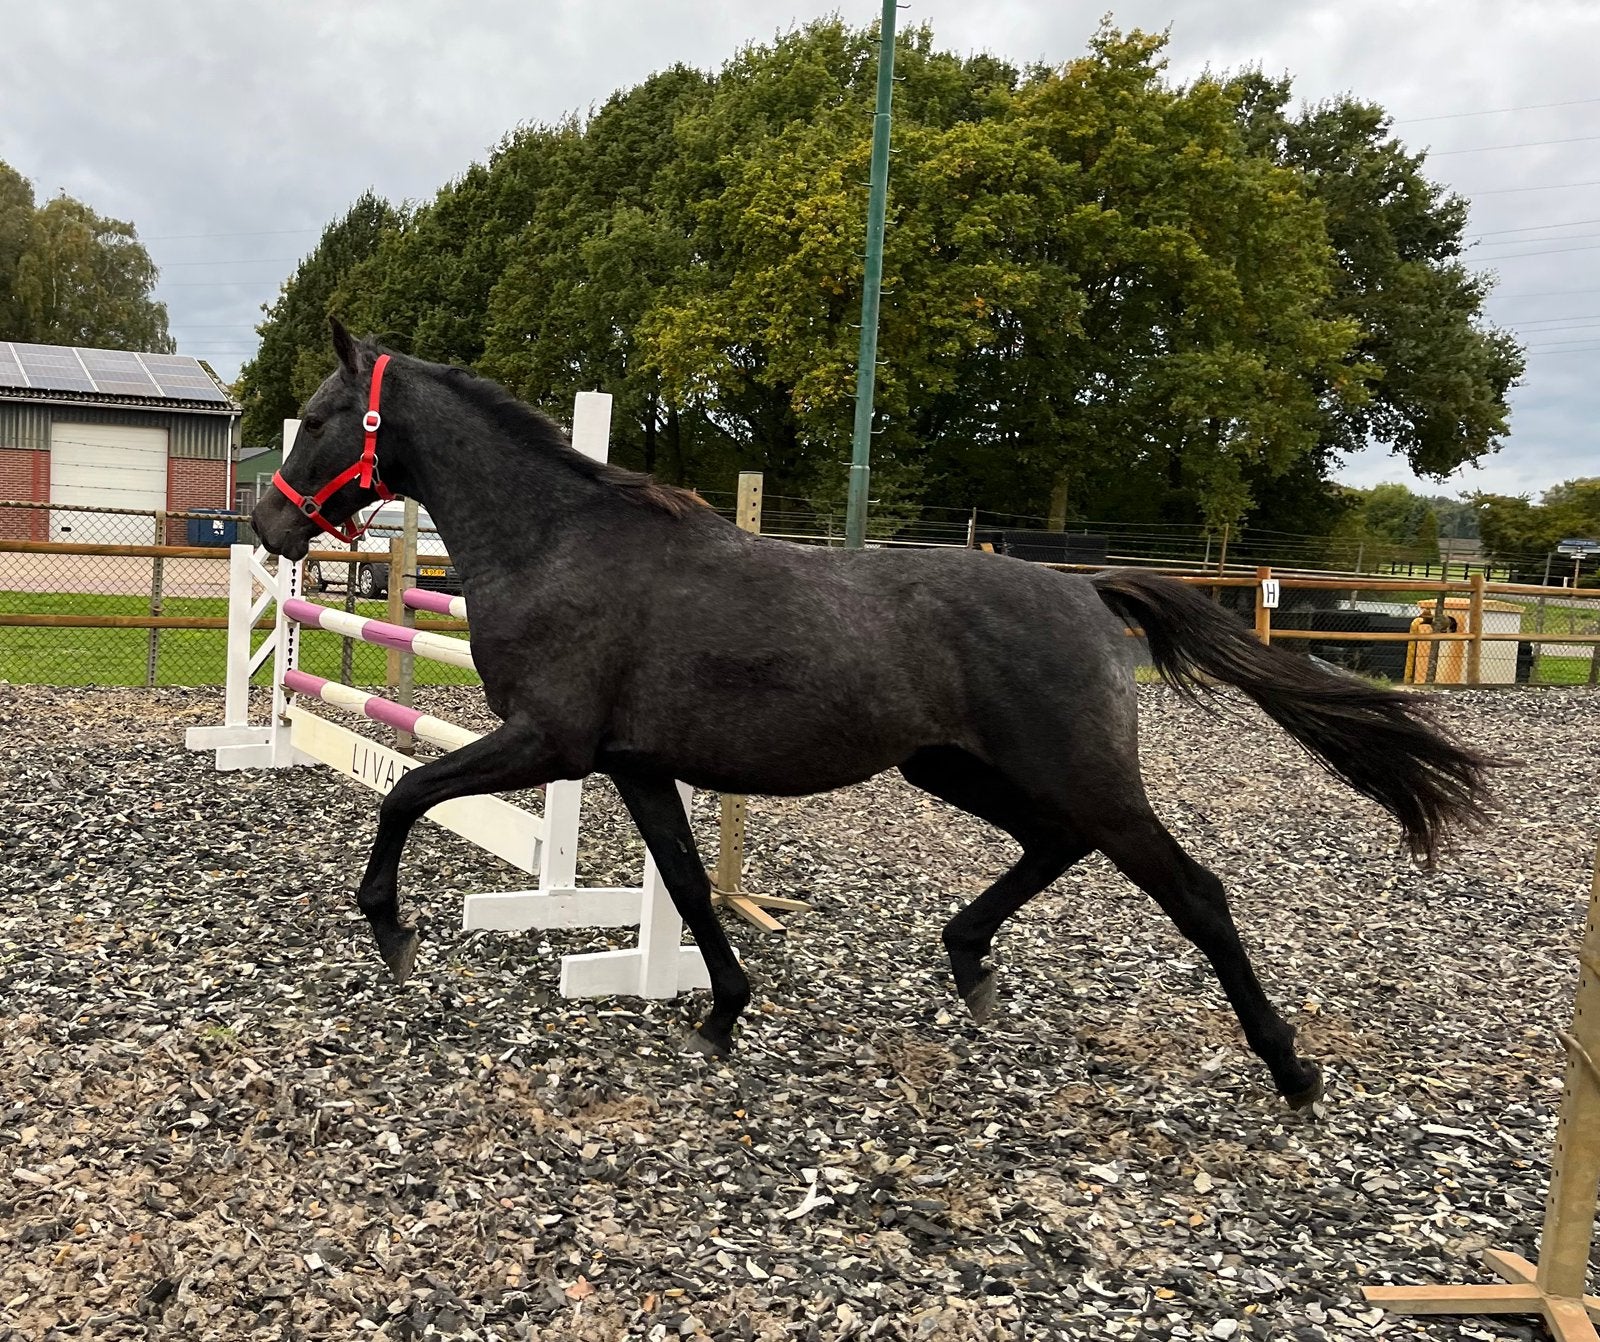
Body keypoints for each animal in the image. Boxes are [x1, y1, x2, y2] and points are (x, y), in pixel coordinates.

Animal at [251, 319, 1490, 1110]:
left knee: (1194, 892)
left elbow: (409, 792)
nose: (265, 525)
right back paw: (970, 961)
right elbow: (687, 885)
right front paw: (723, 1013)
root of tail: (1085, 591)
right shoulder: (633, 763)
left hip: (1079, 774)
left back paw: (1289, 1068)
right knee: (1053, 844)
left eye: (316, 417)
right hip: (953, 767)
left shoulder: (547, 742)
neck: (558, 544)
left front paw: (391, 929)